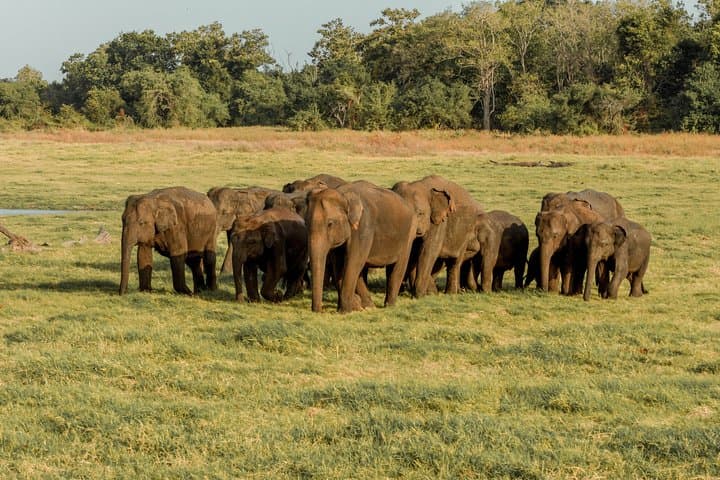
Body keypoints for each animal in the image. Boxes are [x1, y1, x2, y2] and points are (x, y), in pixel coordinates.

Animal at [306, 180, 417, 313]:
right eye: (306, 223)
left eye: (330, 224)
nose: (320, 311)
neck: (343, 194)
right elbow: (339, 264)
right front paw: (358, 306)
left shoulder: (363, 227)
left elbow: (353, 262)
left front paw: (345, 311)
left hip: (408, 235)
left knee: (398, 267)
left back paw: (389, 306)